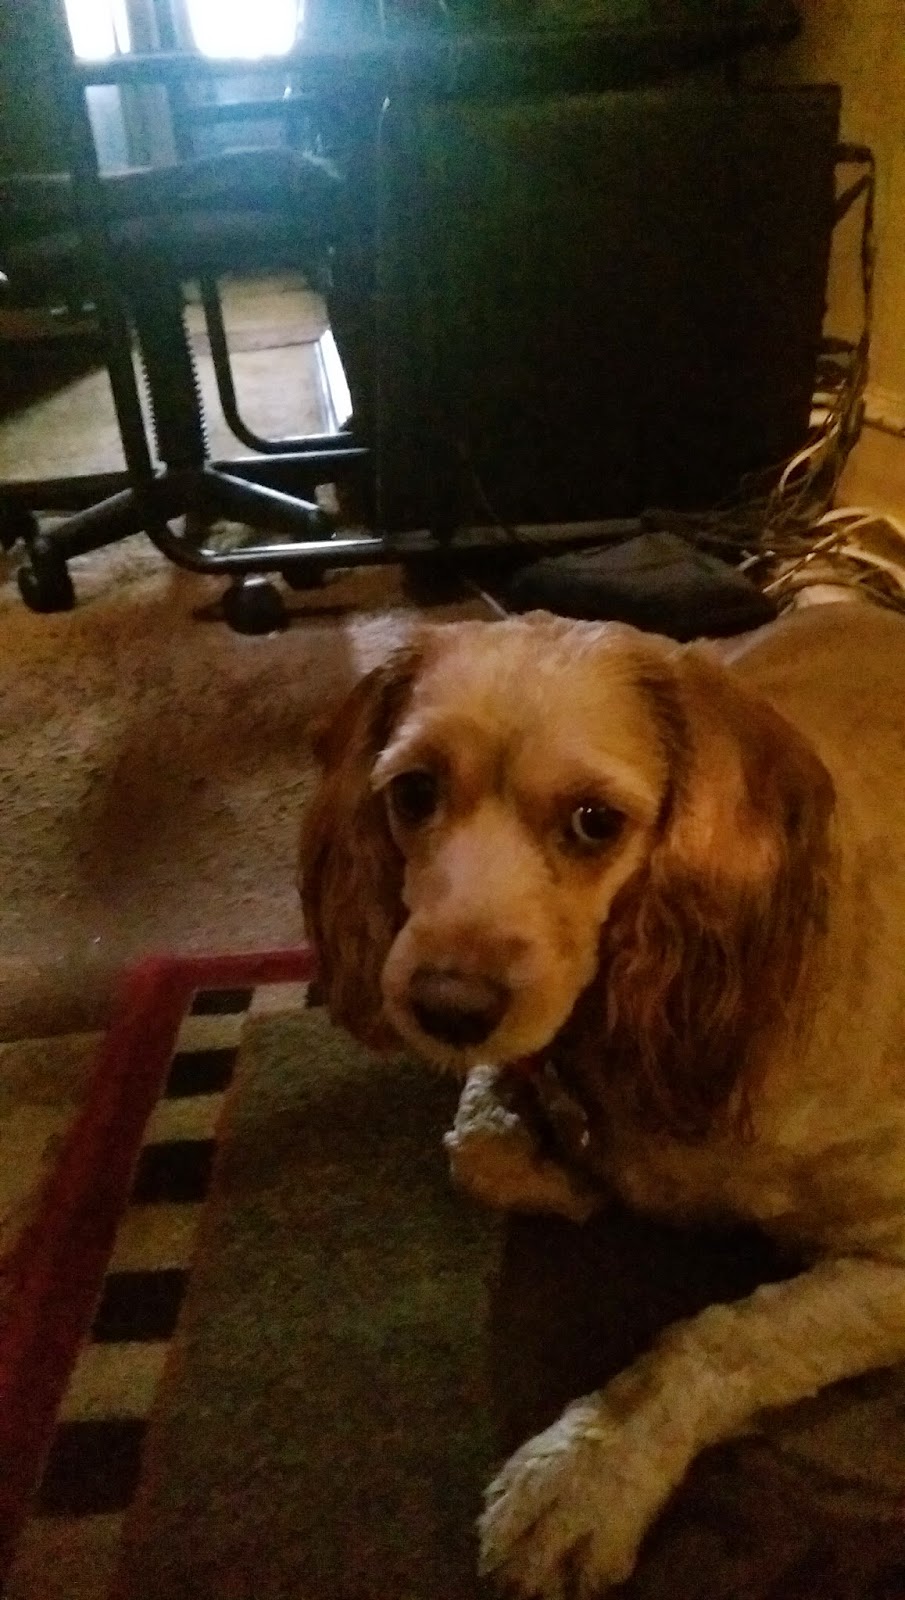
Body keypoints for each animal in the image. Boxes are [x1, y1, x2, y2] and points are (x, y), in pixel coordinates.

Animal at [299, 602, 905, 1598]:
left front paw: (584, 1472)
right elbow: (481, 1153)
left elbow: (721, 1337)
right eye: (414, 793)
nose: (446, 1009)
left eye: (593, 822)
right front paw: (563, 1171)